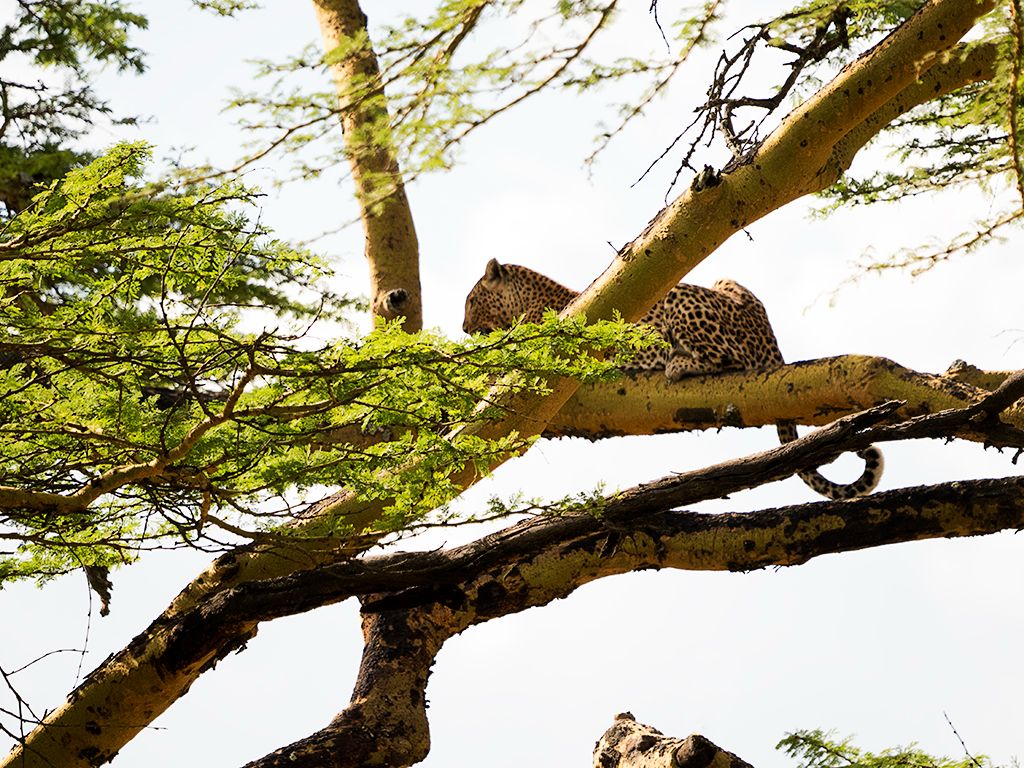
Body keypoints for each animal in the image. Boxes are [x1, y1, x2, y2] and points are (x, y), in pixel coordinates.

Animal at [463, 258, 883, 500]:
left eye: (470, 300)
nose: (464, 328)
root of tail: (770, 342)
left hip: (681, 300)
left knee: (725, 358)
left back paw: (677, 364)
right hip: (726, 280)